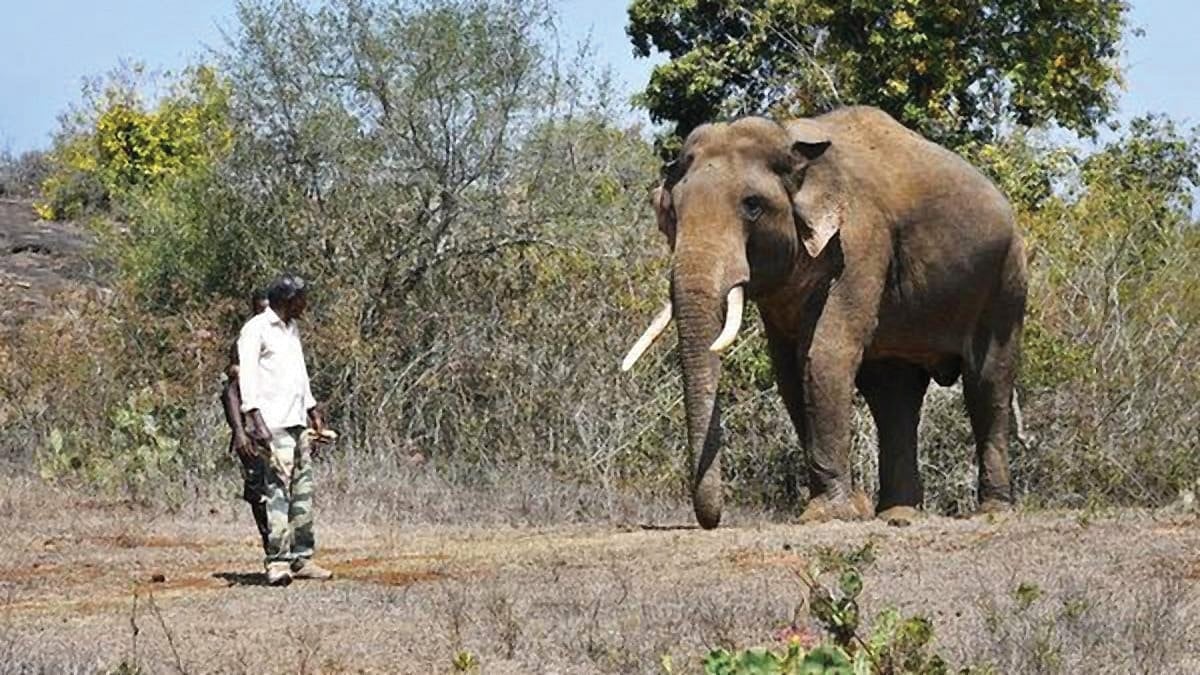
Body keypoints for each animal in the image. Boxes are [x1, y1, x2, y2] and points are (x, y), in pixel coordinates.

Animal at [623, 106, 1027, 529]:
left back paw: (991, 512)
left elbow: (824, 357)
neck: (792, 143)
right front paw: (850, 508)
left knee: (987, 383)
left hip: (1006, 279)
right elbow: (789, 372)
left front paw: (827, 514)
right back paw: (897, 514)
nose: (714, 521)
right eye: (672, 212)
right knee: (893, 396)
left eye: (752, 205)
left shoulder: (860, 241)